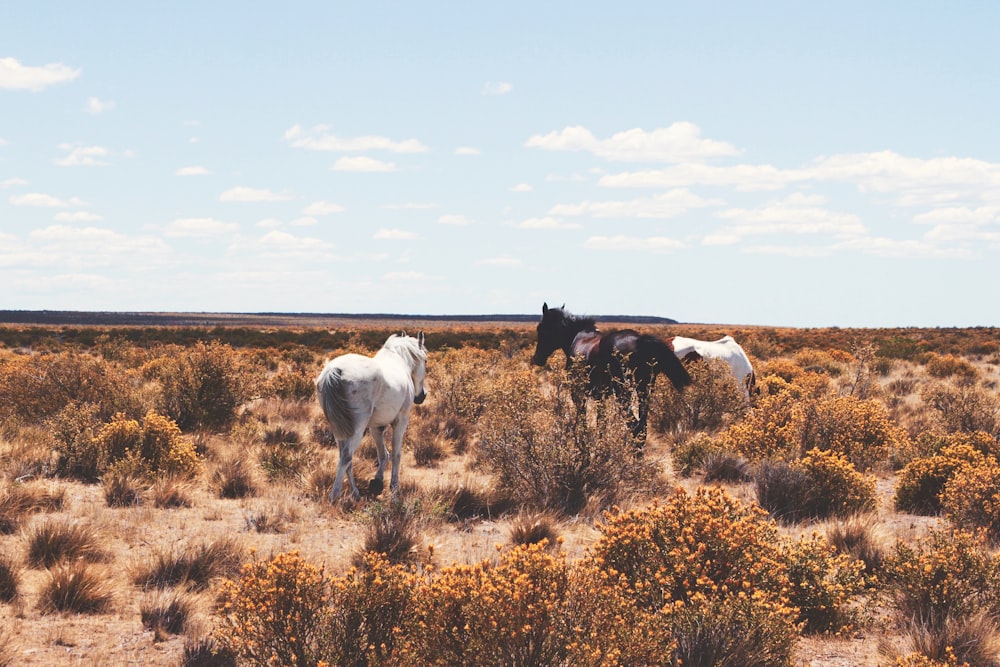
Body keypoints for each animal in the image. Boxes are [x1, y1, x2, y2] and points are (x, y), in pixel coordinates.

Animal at [316, 332, 426, 504]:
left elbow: (383, 454)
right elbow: (396, 454)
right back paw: (335, 496)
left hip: (339, 430)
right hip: (357, 430)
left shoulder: (376, 427)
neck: (400, 362)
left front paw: (377, 482)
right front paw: (394, 488)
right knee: (346, 457)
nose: (421, 396)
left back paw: (355, 492)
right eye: (425, 361)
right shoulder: (401, 421)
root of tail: (334, 370)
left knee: (344, 458)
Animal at [532, 302, 688, 448]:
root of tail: (639, 341)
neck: (577, 337)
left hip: (623, 394)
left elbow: (583, 418)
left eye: (540, 328)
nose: (537, 358)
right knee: (642, 428)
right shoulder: (601, 396)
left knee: (635, 426)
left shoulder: (578, 393)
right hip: (644, 391)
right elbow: (601, 422)